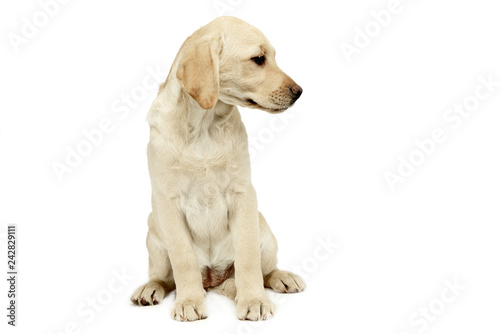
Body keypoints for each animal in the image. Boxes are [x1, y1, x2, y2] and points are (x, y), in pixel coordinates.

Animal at [130, 15, 304, 320]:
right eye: (259, 59)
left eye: (272, 57)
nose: (299, 92)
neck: (205, 126)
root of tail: (213, 278)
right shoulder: (167, 201)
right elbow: (183, 259)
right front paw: (189, 301)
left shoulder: (243, 194)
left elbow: (248, 259)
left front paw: (253, 299)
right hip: (153, 232)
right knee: (164, 277)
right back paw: (151, 288)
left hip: (264, 228)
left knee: (265, 270)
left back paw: (282, 277)